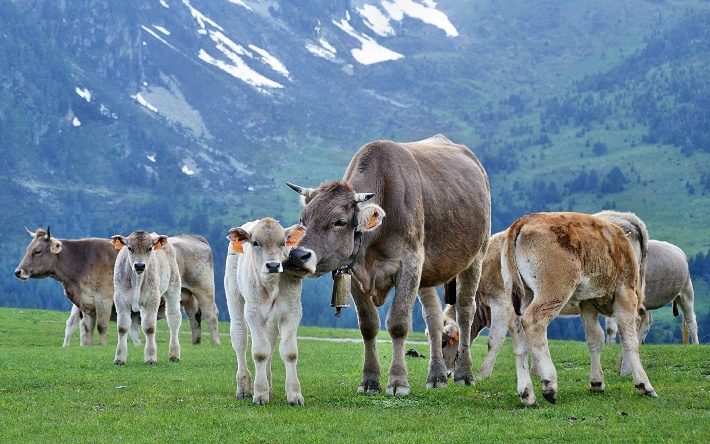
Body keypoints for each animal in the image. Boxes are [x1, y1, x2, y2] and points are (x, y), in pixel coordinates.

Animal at [112, 231, 181, 364]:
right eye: (129, 248)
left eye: (150, 248)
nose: (139, 265)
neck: (137, 280)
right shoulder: (120, 298)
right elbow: (122, 327)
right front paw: (119, 358)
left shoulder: (152, 298)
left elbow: (149, 328)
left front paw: (150, 357)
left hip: (174, 286)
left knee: (173, 318)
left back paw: (174, 355)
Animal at [224, 218, 307, 405]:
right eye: (255, 243)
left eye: (283, 243)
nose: (273, 265)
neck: (271, 285)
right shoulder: (253, 311)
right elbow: (260, 352)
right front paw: (260, 394)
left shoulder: (293, 310)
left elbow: (289, 352)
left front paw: (295, 394)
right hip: (234, 297)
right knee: (239, 337)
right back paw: (244, 387)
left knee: (270, 338)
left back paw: (268, 383)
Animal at [286, 134, 491, 395]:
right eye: (303, 219)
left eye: (339, 221)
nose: (297, 255)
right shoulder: (355, 272)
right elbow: (368, 325)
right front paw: (369, 381)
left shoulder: (410, 264)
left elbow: (398, 323)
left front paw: (398, 381)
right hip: (428, 272)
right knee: (433, 316)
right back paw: (437, 376)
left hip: (475, 257)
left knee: (465, 311)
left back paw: (464, 374)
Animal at [501, 212, 656, 406]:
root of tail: (526, 220)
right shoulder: (624, 294)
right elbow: (630, 340)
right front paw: (644, 385)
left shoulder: (587, 303)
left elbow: (595, 339)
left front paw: (597, 382)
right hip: (554, 290)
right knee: (534, 322)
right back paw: (549, 385)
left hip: (522, 294)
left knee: (517, 330)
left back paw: (527, 395)